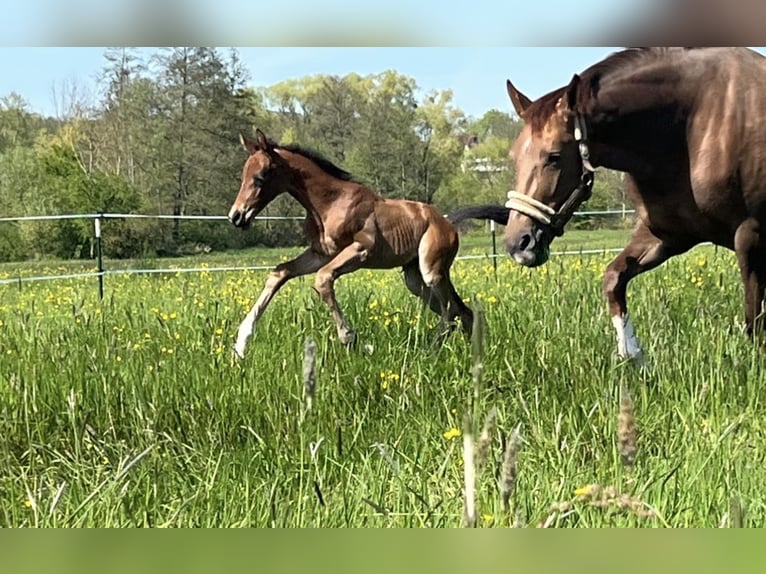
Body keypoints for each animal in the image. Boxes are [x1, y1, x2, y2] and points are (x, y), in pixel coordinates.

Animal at [227, 129, 493, 358]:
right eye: (242, 176)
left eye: (260, 177)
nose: (236, 216)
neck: (330, 203)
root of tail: (448, 223)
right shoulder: (320, 253)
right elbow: (280, 273)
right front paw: (241, 343)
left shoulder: (361, 250)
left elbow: (323, 279)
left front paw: (348, 337)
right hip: (414, 278)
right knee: (461, 313)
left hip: (431, 271)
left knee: (451, 314)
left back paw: (432, 353)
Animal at [461, 47, 766, 361]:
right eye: (514, 156)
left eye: (554, 156)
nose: (518, 243)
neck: (692, 125)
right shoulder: (667, 235)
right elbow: (613, 279)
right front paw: (631, 354)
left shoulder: (749, 236)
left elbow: (753, 319)